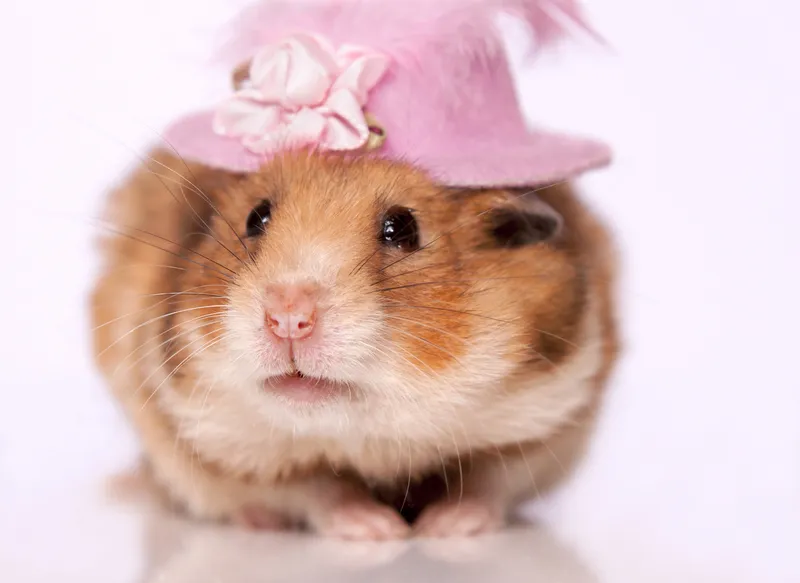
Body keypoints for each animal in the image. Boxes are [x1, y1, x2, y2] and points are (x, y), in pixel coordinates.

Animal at [90, 147, 619, 540]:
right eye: (256, 218)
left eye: (402, 228)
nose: (288, 317)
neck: (367, 434)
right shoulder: (214, 439)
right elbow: (317, 488)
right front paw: (380, 531)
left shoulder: (548, 417)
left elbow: (486, 482)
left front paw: (440, 528)